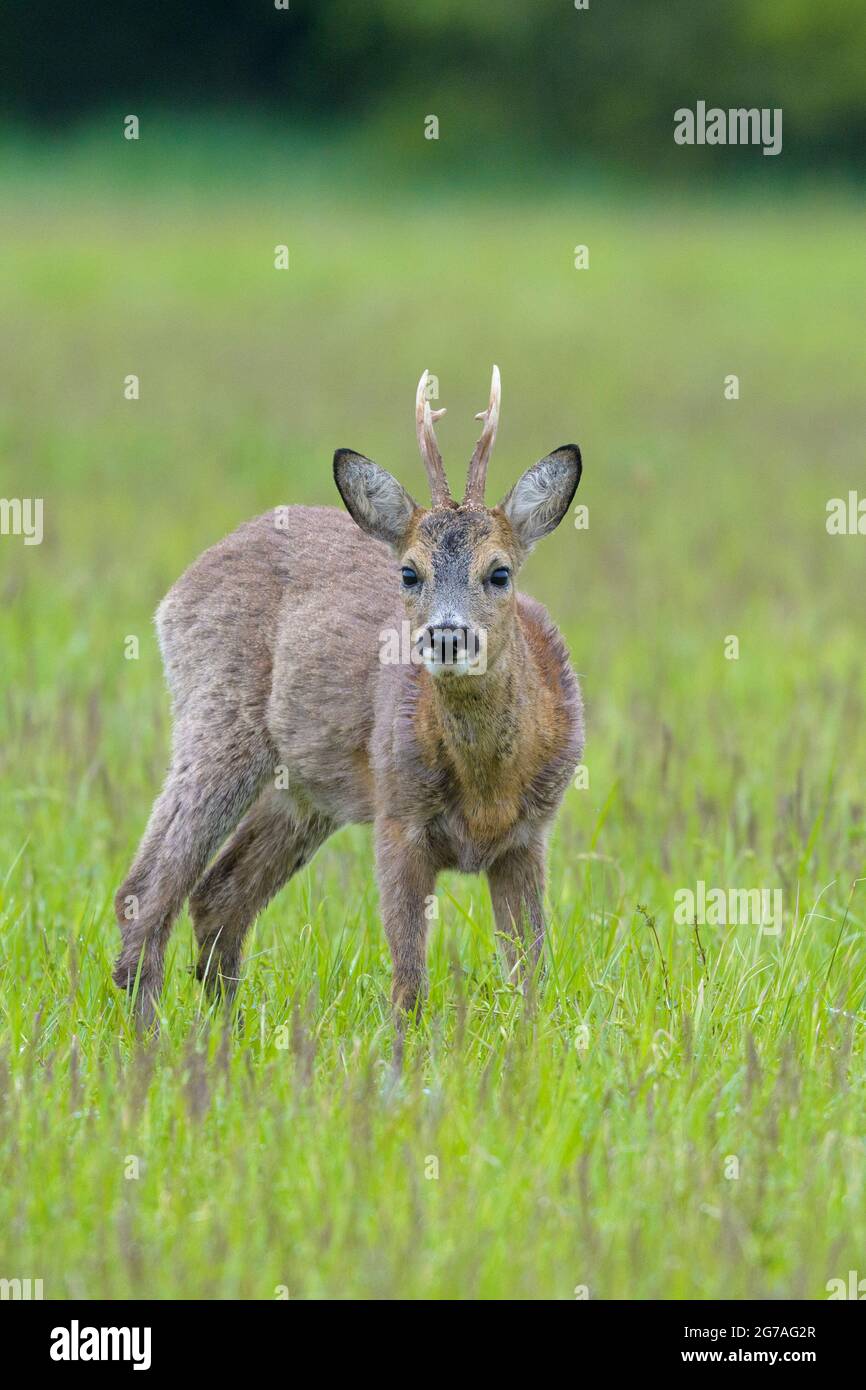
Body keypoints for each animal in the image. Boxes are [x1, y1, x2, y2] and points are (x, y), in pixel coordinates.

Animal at [115, 366, 586, 1023]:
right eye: (409, 572)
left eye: (499, 572)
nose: (447, 636)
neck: (486, 789)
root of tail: (177, 591)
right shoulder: (397, 814)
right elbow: (409, 981)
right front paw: (403, 1051)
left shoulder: (529, 834)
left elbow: (530, 977)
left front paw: (529, 1043)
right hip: (216, 717)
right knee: (146, 889)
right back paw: (153, 1039)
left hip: (305, 789)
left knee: (217, 895)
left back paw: (226, 1034)